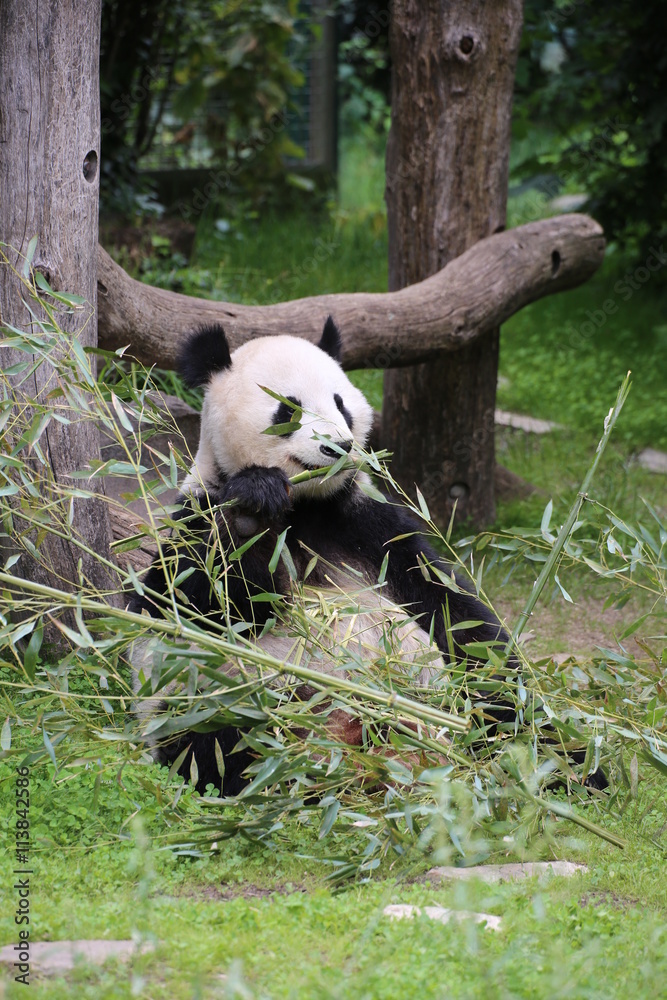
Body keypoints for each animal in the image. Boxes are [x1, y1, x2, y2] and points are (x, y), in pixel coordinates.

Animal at [129, 317, 516, 795]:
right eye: (287, 409)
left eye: (341, 405)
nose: (338, 447)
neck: (303, 505)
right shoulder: (196, 513)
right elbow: (196, 603)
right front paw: (252, 509)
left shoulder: (367, 526)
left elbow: (454, 615)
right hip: (212, 699)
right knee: (220, 739)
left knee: (487, 701)